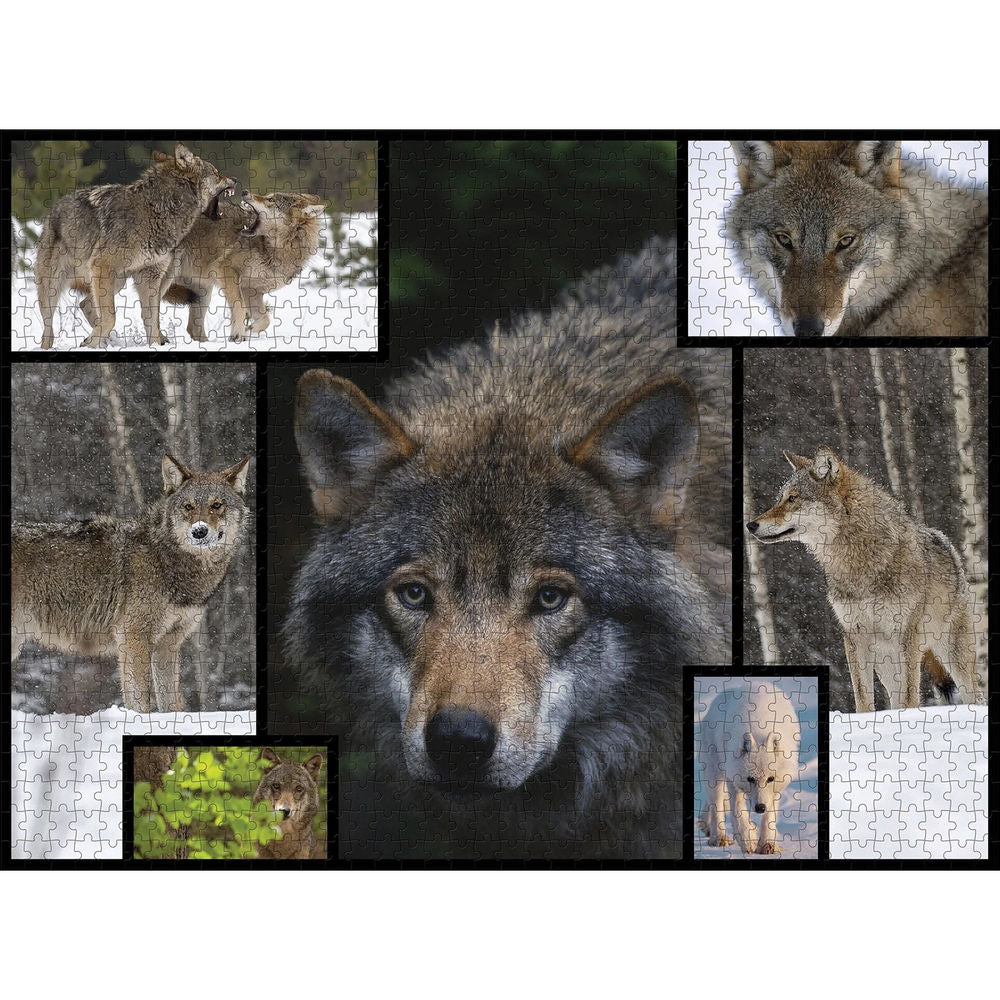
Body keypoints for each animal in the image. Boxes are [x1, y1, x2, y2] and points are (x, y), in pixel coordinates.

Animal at [11, 455, 250, 713]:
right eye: (188, 507)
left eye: (217, 505)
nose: (199, 531)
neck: (166, 559)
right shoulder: (133, 637)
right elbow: (140, 702)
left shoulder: (168, 644)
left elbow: (171, 704)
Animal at [35, 143, 238, 350]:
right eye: (216, 173)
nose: (236, 179)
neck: (158, 210)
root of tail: (55, 207)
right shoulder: (103, 265)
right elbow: (111, 318)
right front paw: (90, 342)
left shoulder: (150, 277)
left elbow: (152, 323)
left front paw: (154, 344)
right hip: (56, 286)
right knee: (49, 328)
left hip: (116, 281)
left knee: (85, 305)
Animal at [161, 188, 325, 343]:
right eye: (268, 196)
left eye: (270, 200)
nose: (245, 191)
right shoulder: (227, 271)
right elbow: (240, 307)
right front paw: (238, 335)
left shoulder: (251, 290)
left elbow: (265, 319)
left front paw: (248, 330)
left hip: (202, 292)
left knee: (193, 329)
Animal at [697, 681, 800, 855]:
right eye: (750, 779)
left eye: (770, 779)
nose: (760, 808)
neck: (760, 729)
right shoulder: (733, 780)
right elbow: (738, 812)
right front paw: (748, 840)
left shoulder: (774, 790)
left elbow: (770, 817)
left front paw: (767, 844)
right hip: (714, 773)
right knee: (716, 804)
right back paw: (719, 838)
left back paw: (706, 825)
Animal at [746, 446, 981, 711]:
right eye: (780, 498)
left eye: (792, 499)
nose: (750, 525)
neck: (857, 563)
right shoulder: (853, 635)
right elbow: (862, 697)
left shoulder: (908, 634)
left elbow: (910, 697)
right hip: (887, 664)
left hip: (953, 656)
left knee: (974, 694)